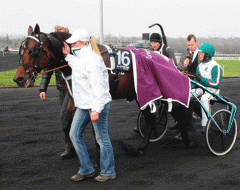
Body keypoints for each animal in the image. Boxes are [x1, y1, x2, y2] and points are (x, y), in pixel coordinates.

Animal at [13, 24, 193, 157]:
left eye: (33, 50)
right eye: (21, 50)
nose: (18, 78)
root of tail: (166, 58)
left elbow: (94, 128)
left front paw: (100, 152)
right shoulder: (74, 98)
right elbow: (67, 124)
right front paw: (70, 150)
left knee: (177, 111)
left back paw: (186, 139)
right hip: (142, 94)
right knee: (151, 119)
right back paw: (142, 148)